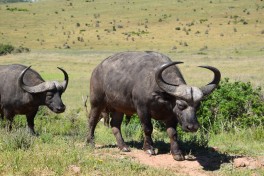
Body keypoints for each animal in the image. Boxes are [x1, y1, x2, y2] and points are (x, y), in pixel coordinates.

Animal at [87, 51, 221, 161]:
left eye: (198, 106)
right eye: (180, 105)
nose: (192, 127)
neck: (161, 96)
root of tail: (97, 69)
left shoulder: (171, 116)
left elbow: (172, 133)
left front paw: (177, 153)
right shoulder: (142, 109)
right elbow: (147, 128)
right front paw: (149, 148)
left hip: (118, 108)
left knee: (115, 125)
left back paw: (123, 146)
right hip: (97, 102)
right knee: (92, 120)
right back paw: (90, 142)